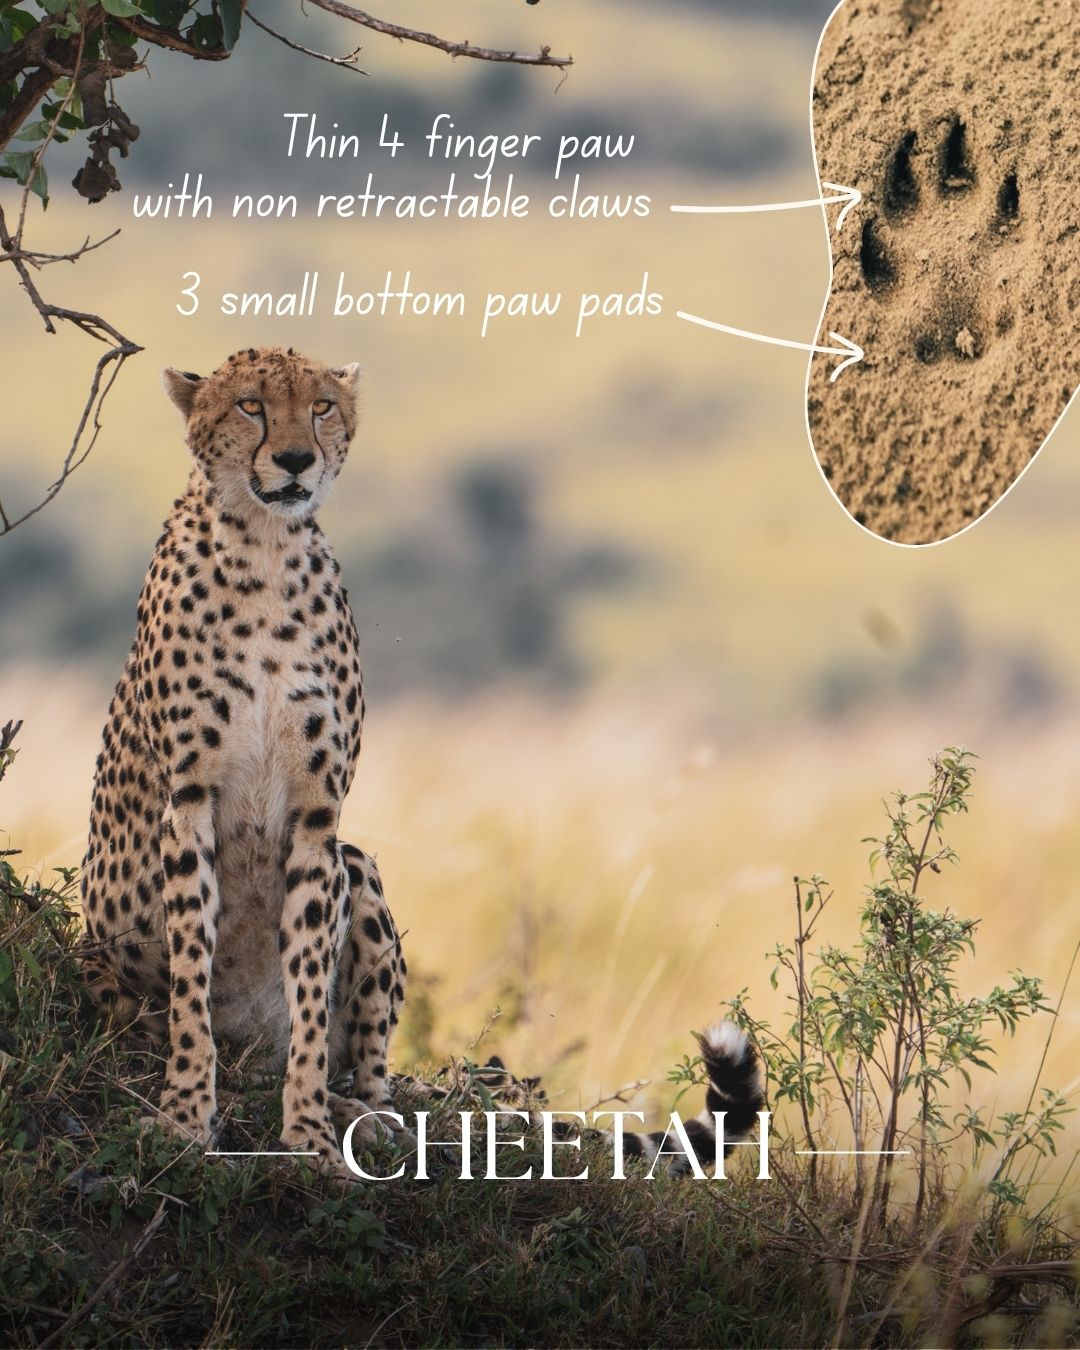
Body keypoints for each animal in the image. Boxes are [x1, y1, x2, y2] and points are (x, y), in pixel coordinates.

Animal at [79, 344, 764, 1182]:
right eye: (249, 405)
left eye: (321, 407)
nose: (297, 459)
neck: (266, 546)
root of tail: (251, 1059)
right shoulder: (189, 804)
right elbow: (190, 984)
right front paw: (183, 1116)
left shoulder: (318, 819)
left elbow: (309, 991)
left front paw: (309, 1135)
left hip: (358, 865)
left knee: (365, 1069)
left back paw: (362, 1118)